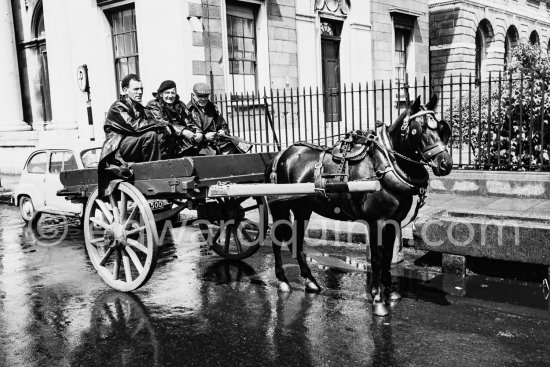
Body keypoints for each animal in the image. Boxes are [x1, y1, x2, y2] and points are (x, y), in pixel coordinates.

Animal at [266, 95, 452, 316]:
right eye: (418, 129)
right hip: (280, 207)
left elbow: (388, 257)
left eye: (440, 128)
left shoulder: (393, 221)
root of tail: (280, 155)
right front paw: (378, 299)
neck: (385, 164)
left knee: (296, 240)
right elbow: (378, 259)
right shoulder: (376, 222)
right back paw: (283, 281)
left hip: (303, 208)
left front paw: (390, 291)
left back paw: (310, 281)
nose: (446, 164)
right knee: (277, 240)